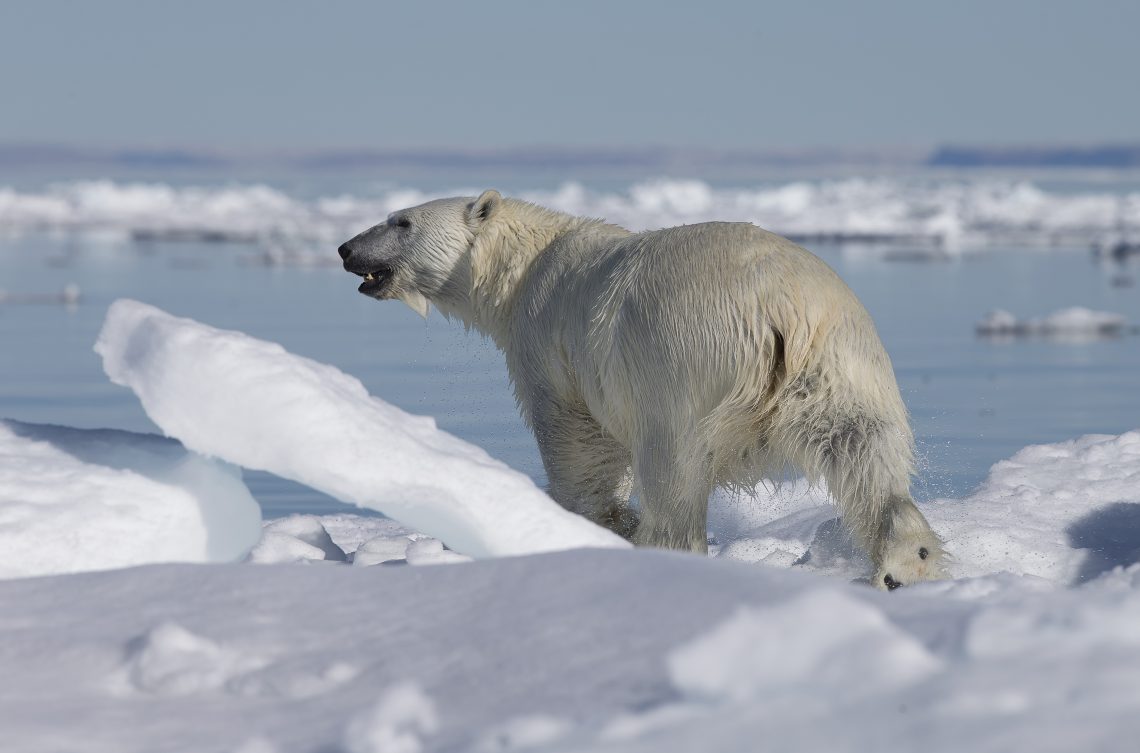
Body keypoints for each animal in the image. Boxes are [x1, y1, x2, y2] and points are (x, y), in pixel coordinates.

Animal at [338, 190, 945, 589]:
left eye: (400, 221)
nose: (346, 248)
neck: (527, 265)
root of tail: (780, 306)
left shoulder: (551, 343)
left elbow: (579, 443)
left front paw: (588, 523)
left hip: (683, 359)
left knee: (672, 467)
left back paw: (662, 547)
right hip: (840, 361)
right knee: (862, 449)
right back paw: (905, 562)